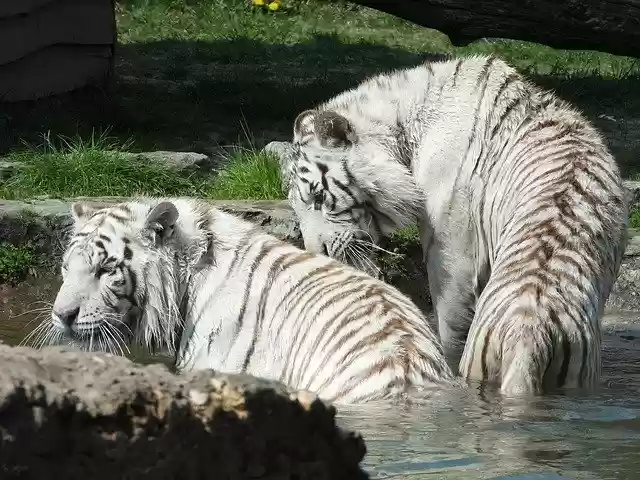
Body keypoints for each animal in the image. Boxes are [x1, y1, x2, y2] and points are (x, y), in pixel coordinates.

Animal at [278, 53, 629, 396]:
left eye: (319, 198)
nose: (318, 253)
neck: (402, 132)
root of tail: (529, 336)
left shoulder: (451, 254)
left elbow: (449, 325)